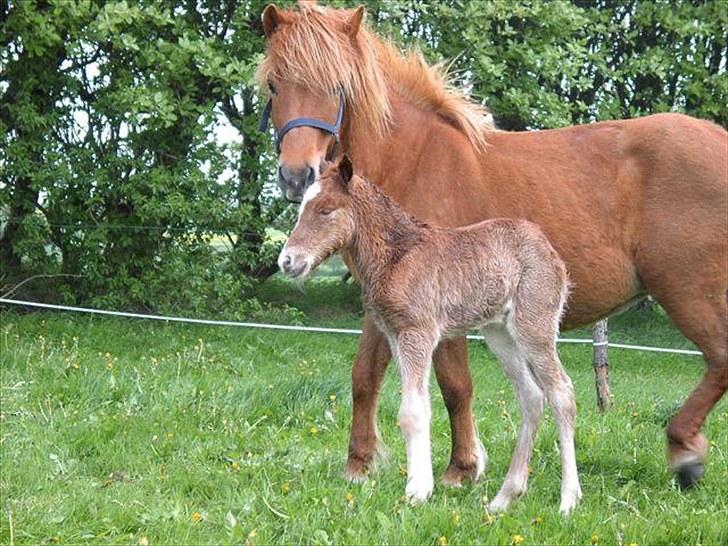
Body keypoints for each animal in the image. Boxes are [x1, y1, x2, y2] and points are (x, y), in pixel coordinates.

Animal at [278, 156, 580, 510]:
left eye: (326, 209)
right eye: (301, 208)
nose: (287, 261)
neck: (397, 256)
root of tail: (548, 249)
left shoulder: (417, 334)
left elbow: (412, 411)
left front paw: (418, 490)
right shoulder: (396, 335)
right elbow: (414, 403)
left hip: (534, 327)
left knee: (561, 393)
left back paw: (568, 500)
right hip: (499, 334)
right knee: (531, 397)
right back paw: (504, 497)